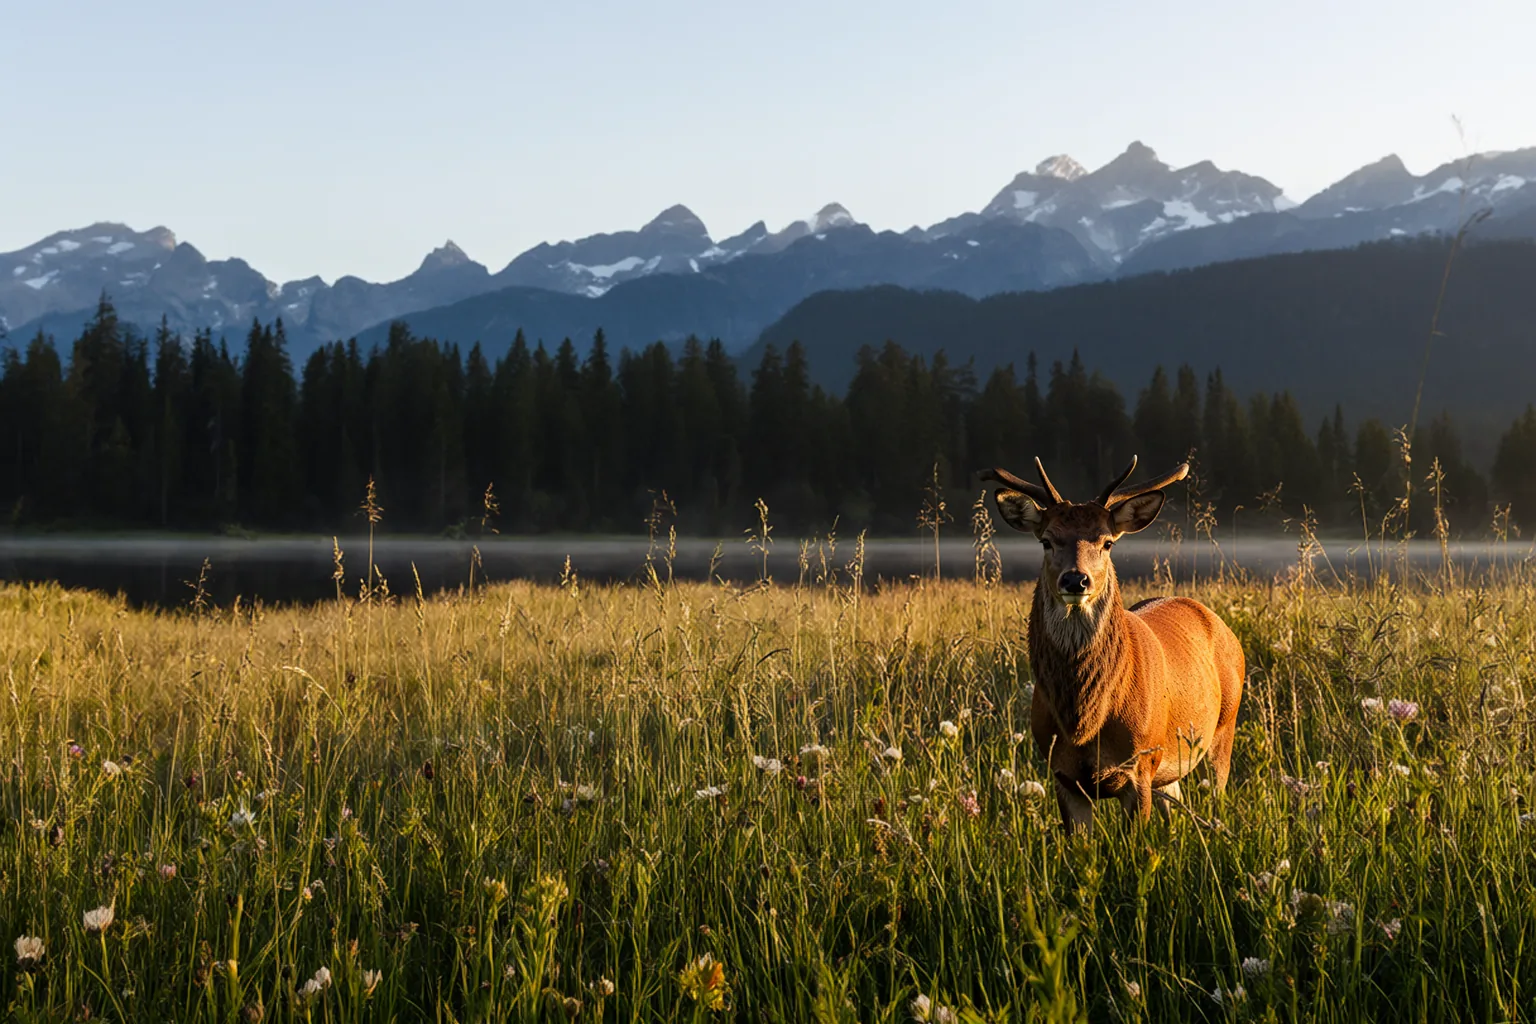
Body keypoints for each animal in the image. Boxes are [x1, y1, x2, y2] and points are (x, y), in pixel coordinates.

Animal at [980, 456, 1244, 831]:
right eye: (1046, 540)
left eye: (1107, 543)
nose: (1076, 579)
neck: (1084, 724)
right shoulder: (1063, 777)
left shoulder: (1140, 767)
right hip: (1169, 770)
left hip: (1223, 728)